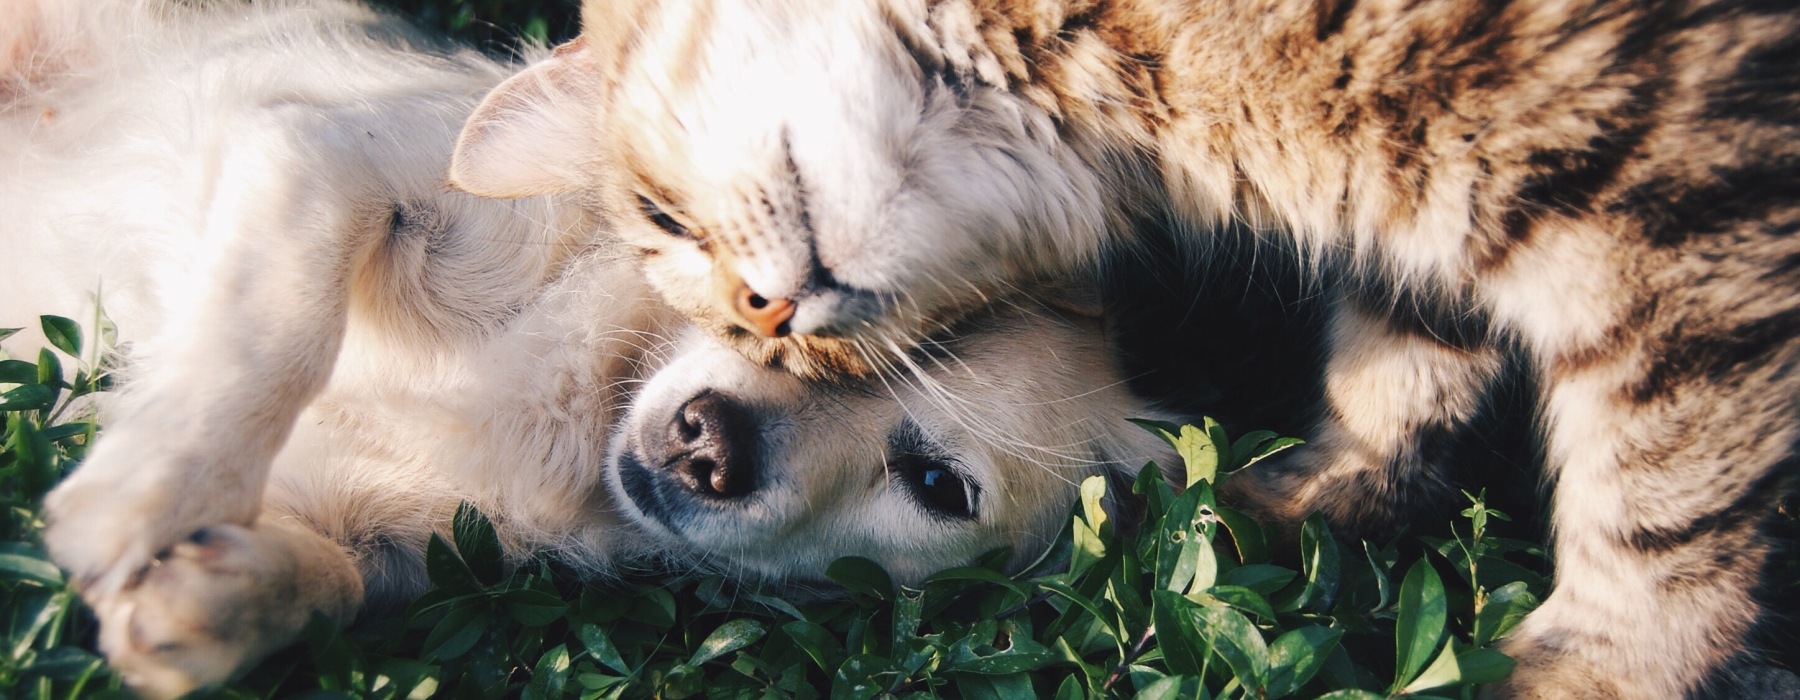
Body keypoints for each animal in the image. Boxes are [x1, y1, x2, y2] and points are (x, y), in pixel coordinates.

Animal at [0, 2, 1180, 694]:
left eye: (937, 485)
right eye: (766, 307)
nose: (710, 443)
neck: (589, 400)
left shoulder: (389, 544)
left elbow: (328, 582)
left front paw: (209, 600)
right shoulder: (325, 152)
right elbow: (273, 329)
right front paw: (148, 490)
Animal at [446, 1, 1800, 691]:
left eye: (663, 219)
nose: (767, 321)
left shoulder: (1674, 196)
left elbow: (1663, 501)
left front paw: (1597, 667)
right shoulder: (1433, 208)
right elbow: (1402, 359)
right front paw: (1312, 496)